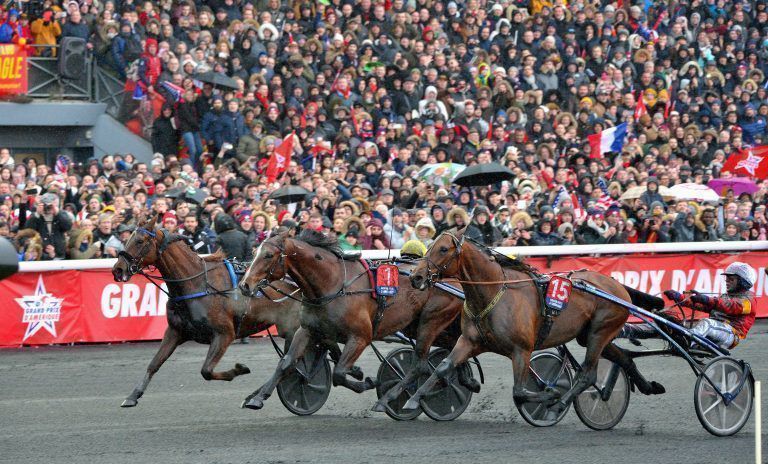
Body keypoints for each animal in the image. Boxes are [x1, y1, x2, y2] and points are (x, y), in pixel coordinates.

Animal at [111, 213, 304, 406]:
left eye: (140, 241)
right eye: (128, 239)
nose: (118, 270)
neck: (196, 284)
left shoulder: (224, 334)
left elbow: (206, 370)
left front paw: (239, 369)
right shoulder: (175, 331)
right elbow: (154, 363)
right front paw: (132, 396)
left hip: (294, 328)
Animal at [237, 230, 474, 412]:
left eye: (268, 255)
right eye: (254, 252)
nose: (244, 285)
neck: (332, 284)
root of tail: (451, 277)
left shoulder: (360, 337)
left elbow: (339, 373)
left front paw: (366, 381)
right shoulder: (309, 330)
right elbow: (286, 363)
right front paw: (257, 397)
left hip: (430, 323)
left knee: (420, 365)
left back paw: (390, 399)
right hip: (422, 327)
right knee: (453, 348)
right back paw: (465, 380)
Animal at [404, 230, 664, 416]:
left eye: (443, 249)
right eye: (429, 246)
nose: (416, 277)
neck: (493, 293)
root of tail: (617, 286)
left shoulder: (521, 350)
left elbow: (519, 392)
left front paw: (551, 394)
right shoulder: (469, 341)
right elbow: (443, 367)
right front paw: (413, 399)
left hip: (600, 332)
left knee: (588, 375)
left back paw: (560, 404)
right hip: (591, 334)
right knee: (624, 358)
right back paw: (648, 386)